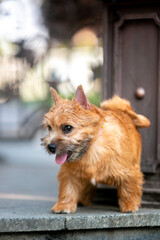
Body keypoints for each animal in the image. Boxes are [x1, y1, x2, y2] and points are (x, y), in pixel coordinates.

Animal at [41, 85, 150, 213]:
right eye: (49, 128)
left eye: (67, 127)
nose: (50, 147)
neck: (91, 148)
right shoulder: (69, 173)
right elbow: (67, 188)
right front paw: (64, 206)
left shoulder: (128, 172)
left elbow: (128, 188)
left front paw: (130, 205)